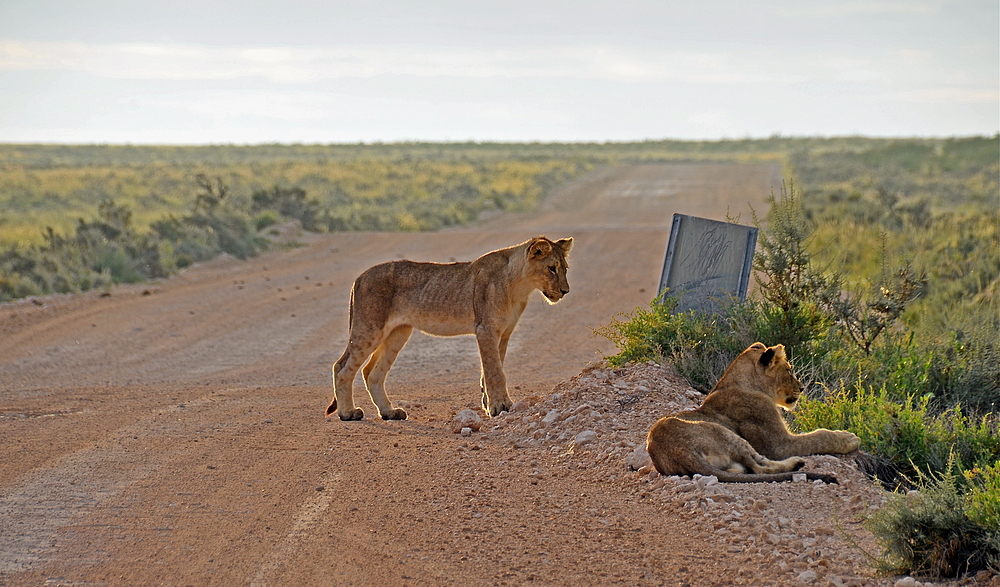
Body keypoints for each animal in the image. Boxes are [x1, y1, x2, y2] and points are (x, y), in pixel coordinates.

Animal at [324, 237, 568, 420]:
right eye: (551, 268)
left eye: (565, 269)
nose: (565, 291)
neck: (520, 286)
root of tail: (359, 277)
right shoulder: (485, 329)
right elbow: (495, 372)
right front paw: (500, 407)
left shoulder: (504, 334)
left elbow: (491, 369)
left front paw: (488, 403)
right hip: (369, 328)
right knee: (342, 367)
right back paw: (348, 413)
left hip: (398, 333)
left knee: (372, 373)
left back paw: (390, 412)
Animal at [648, 344, 860, 482]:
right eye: (789, 370)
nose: (801, 388)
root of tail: (680, 452)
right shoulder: (779, 445)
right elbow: (817, 437)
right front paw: (848, 438)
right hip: (724, 432)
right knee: (759, 467)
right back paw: (796, 464)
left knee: (748, 468)